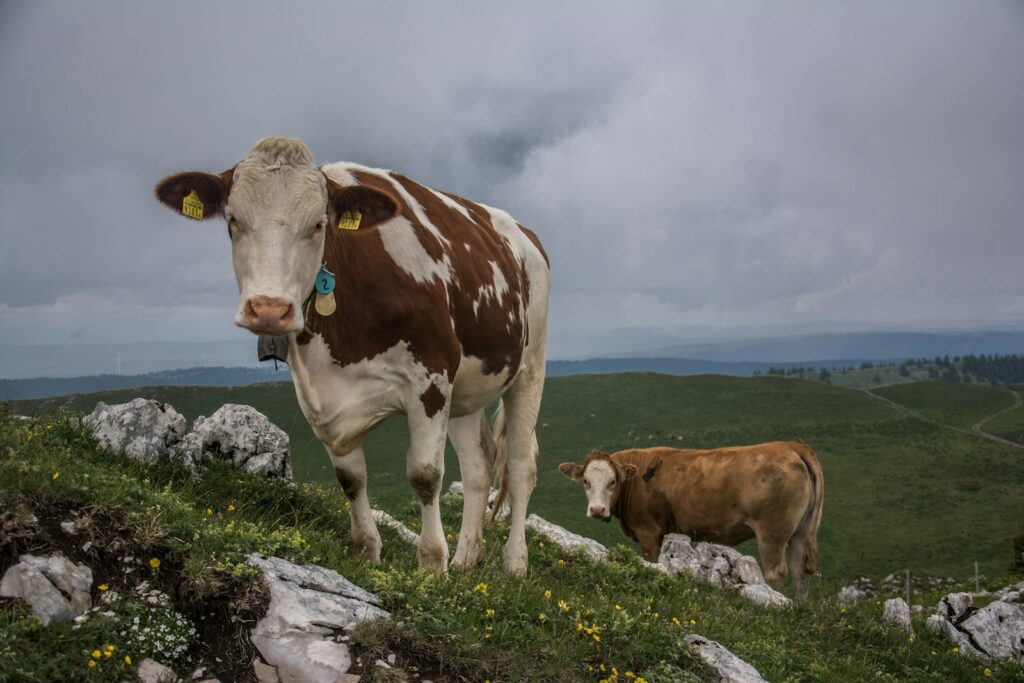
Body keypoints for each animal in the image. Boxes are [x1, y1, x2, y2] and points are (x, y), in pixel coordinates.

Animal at [155, 137, 549, 576]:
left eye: (318, 224)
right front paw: (367, 551)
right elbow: (350, 478)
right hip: (468, 387)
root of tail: (525, 234)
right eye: (233, 220)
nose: (269, 309)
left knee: (520, 465)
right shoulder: (318, 395)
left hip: (529, 367)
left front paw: (432, 563)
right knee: (479, 462)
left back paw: (514, 562)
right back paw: (466, 558)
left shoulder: (431, 376)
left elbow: (425, 474)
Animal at [559, 442, 824, 598]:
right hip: (801, 532)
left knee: (776, 572)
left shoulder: (648, 532)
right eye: (586, 481)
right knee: (800, 574)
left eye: (613, 481)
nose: (597, 510)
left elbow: (652, 562)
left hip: (771, 532)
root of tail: (790, 446)